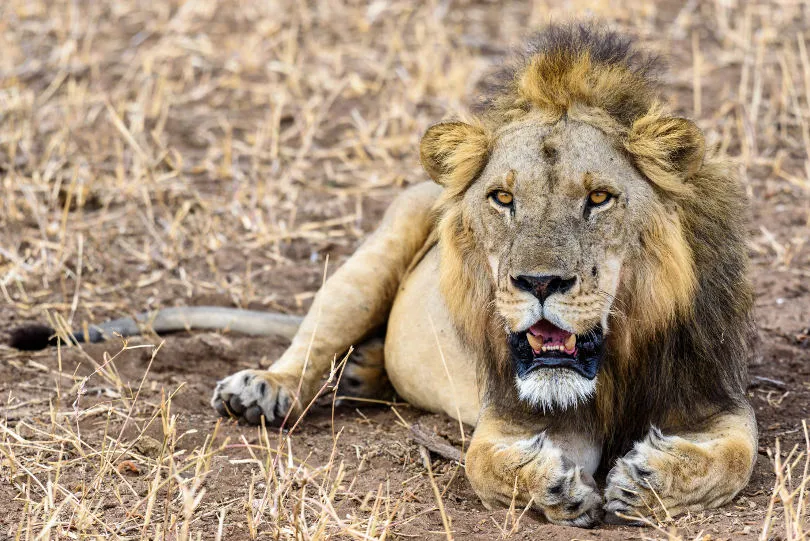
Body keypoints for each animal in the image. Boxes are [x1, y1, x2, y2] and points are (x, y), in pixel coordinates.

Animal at [9, 23, 756, 524]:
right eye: (503, 198)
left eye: (599, 198)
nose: (539, 284)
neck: (615, 360)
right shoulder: (507, 416)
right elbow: (484, 463)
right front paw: (552, 487)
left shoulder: (715, 398)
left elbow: (736, 456)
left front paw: (652, 479)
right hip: (379, 249)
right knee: (312, 338)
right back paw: (265, 388)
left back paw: (366, 371)